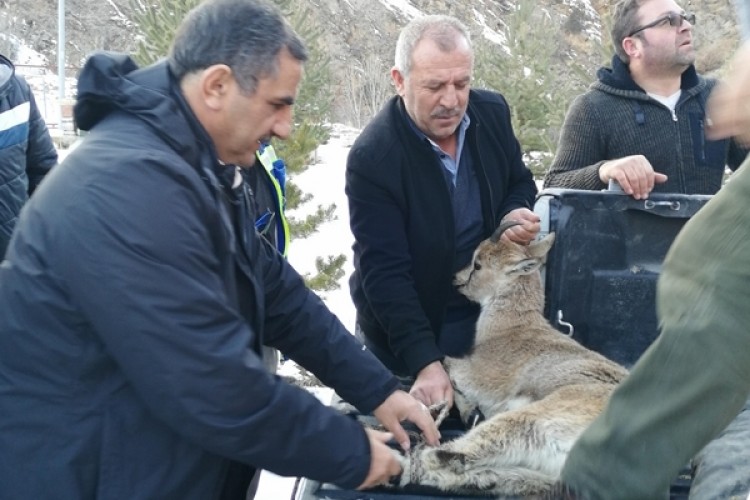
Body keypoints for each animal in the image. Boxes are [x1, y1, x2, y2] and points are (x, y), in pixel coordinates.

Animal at [396, 220, 632, 496]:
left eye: (478, 264)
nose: (455, 278)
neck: (510, 328)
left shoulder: (480, 376)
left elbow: (446, 364)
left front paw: (467, 409)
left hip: (529, 422)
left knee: (443, 456)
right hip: (541, 474)